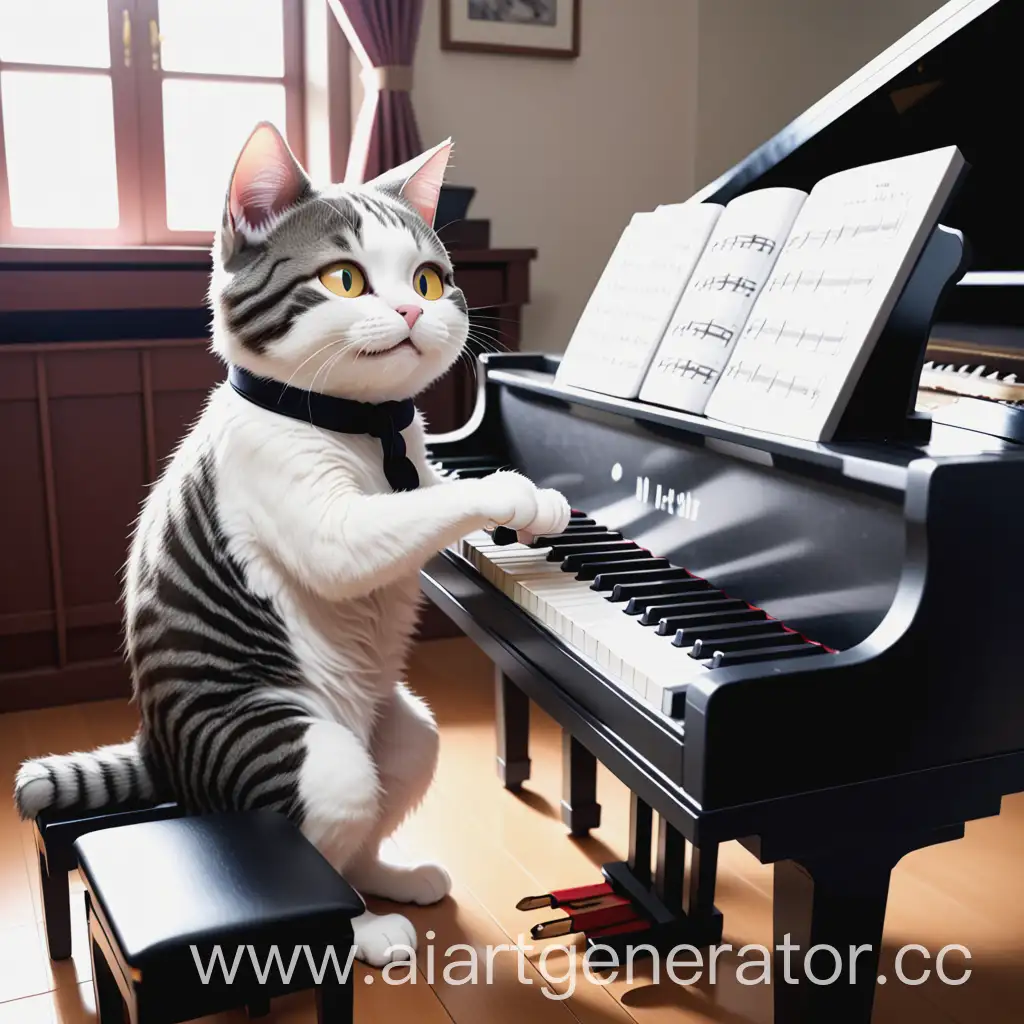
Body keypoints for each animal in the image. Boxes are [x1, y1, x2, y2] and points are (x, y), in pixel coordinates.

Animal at [12, 121, 569, 966]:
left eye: (429, 282)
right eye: (345, 279)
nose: (412, 312)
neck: (365, 427)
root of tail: (157, 750)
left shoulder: (419, 465)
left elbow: (434, 491)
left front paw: (541, 508)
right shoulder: (330, 529)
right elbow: (421, 509)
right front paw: (511, 490)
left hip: (408, 735)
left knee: (364, 841)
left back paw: (397, 878)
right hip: (314, 754)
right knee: (328, 860)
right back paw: (367, 930)